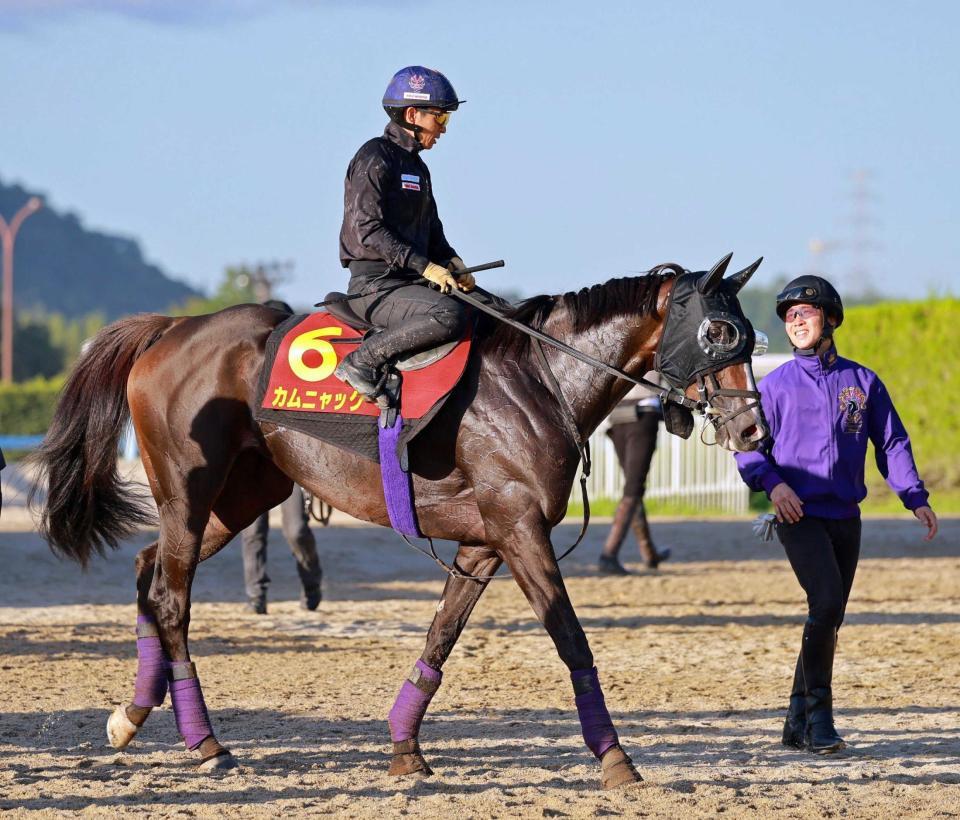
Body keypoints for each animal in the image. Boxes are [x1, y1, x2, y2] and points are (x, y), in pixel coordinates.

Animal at [31, 254, 768, 788]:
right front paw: (615, 758)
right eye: (718, 333)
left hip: (240, 499)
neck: (540, 380)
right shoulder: (520, 531)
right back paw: (205, 742)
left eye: (750, 337)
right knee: (173, 599)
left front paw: (405, 747)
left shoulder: (483, 544)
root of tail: (170, 328)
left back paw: (131, 716)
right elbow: (572, 640)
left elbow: (441, 637)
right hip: (190, 495)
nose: (753, 428)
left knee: (150, 572)